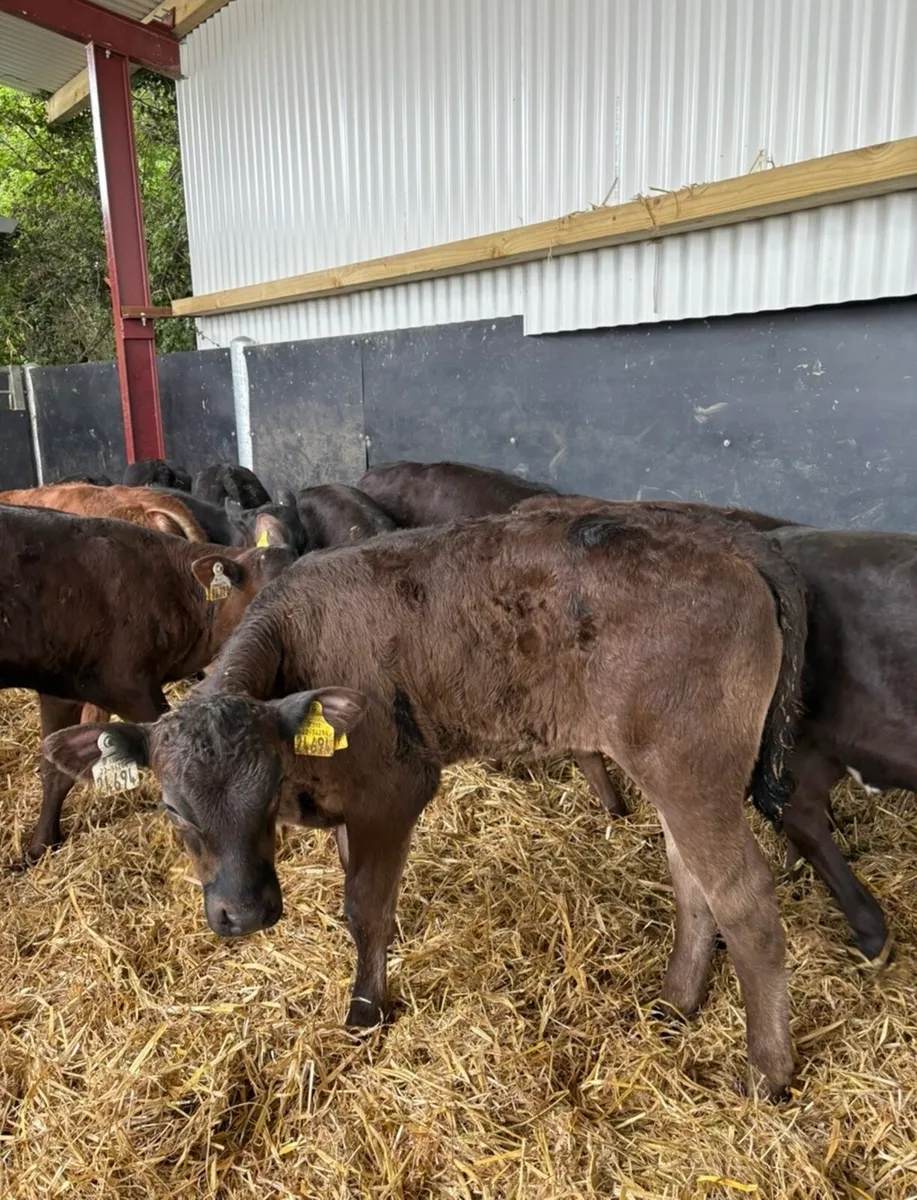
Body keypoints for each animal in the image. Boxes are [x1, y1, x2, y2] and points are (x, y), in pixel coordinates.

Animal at [47, 503, 807, 1097]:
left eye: (266, 794)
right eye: (171, 809)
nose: (247, 913)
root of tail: (726, 542)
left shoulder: (393, 789)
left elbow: (364, 908)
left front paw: (364, 1011)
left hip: (691, 767)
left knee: (744, 901)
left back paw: (766, 1071)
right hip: (670, 772)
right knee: (692, 883)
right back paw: (676, 1002)